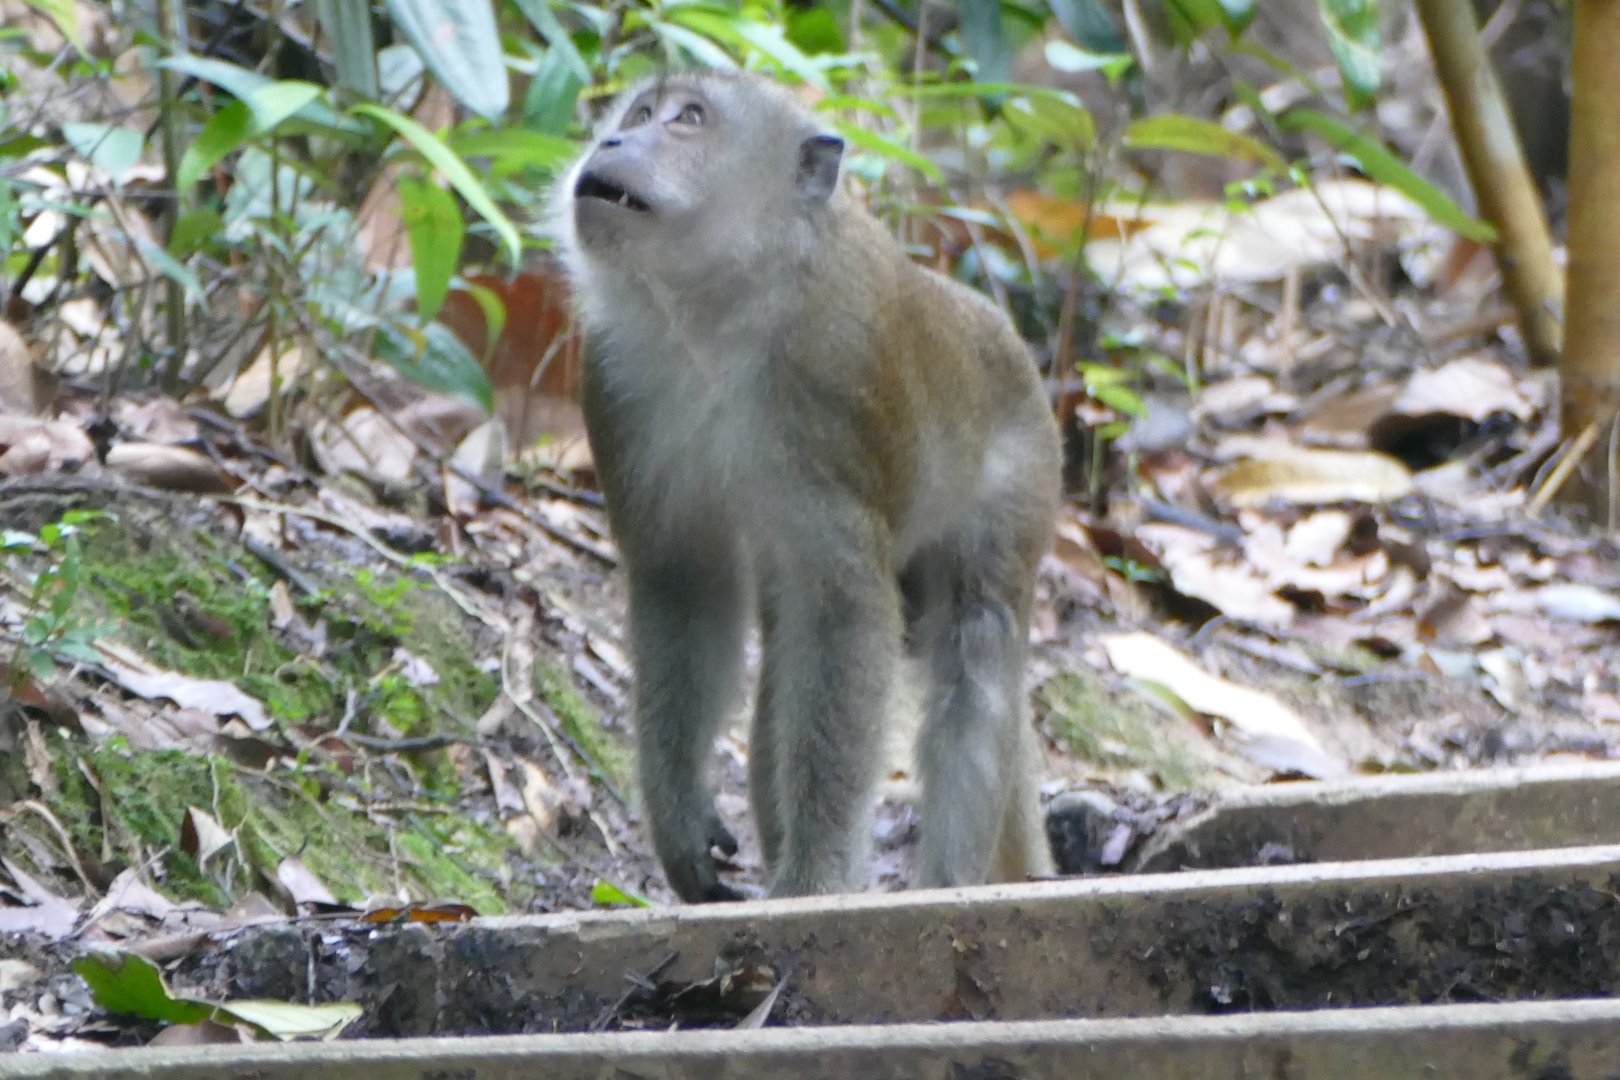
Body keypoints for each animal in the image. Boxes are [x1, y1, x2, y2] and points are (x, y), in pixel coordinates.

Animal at [554, 70, 1060, 902]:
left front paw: (818, 879)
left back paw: (948, 881)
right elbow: (684, 586)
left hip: (1023, 479)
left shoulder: (836, 370)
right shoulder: (612, 380)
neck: (718, 310)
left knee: (976, 644)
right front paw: (679, 817)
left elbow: (845, 615)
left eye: (688, 119)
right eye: (639, 112)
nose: (612, 140)